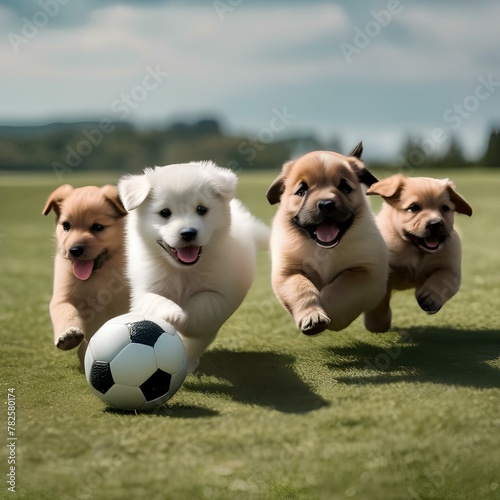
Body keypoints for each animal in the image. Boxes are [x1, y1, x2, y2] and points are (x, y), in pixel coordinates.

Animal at [43, 186, 130, 362]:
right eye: (66, 226)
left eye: (97, 227)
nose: (75, 250)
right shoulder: (62, 297)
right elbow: (67, 312)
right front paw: (69, 335)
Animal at [118, 161, 270, 372]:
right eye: (165, 212)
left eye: (201, 209)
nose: (188, 233)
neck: (183, 271)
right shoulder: (144, 289)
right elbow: (155, 300)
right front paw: (173, 313)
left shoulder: (221, 293)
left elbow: (203, 306)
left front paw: (185, 319)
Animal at [268, 144, 388, 336]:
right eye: (301, 191)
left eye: (344, 187)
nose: (325, 204)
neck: (324, 249)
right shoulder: (288, 272)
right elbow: (302, 290)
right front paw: (312, 316)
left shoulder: (367, 272)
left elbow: (339, 290)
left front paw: (331, 316)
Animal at [364, 174, 472, 330]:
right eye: (413, 208)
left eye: (445, 208)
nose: (435, 223)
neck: (415, 250)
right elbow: (380, 300)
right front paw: (377, 323)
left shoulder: (450, 267)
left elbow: (442, 280)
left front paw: (430, 297)